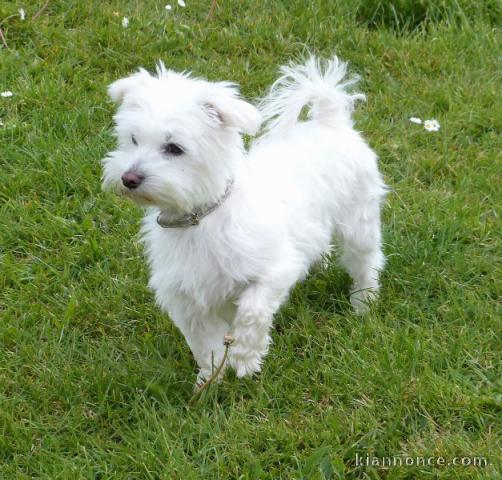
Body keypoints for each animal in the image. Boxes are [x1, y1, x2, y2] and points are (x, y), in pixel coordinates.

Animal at [101, 55, 384, 382]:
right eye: (133, 139)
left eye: (174, 148)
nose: (129, 178)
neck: (201, 218)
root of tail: (329, 120)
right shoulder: (187, 300)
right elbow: (205, 343)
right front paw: (210, 379)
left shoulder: (275, 269)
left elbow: (252, 311)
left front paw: (245, 357)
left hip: (359, 221)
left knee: (366, 260)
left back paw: (363, 300)